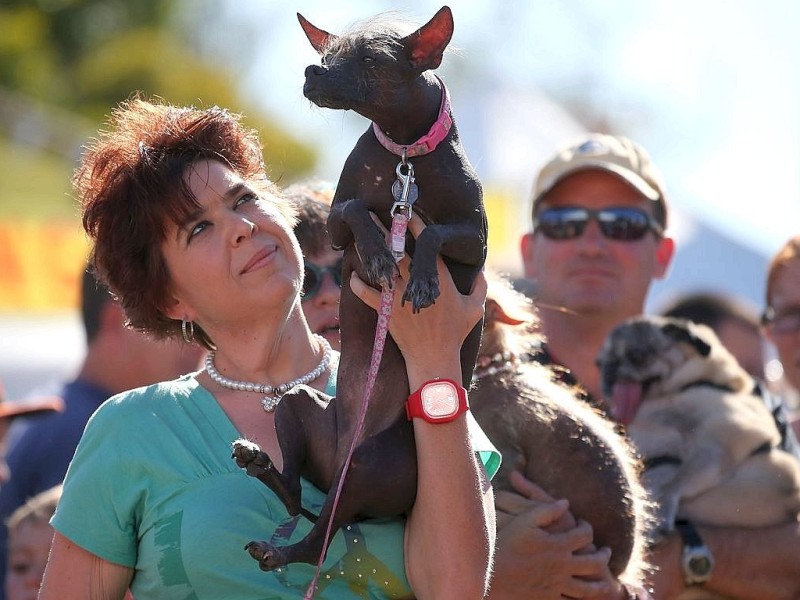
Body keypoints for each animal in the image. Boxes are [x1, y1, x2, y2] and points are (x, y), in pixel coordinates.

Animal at [596, 316, 800, 536]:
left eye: (637, 356)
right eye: (599, 364)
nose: (609, 369)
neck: (671, 395)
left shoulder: (716, 443)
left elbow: (674, 483)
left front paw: (660, 512)